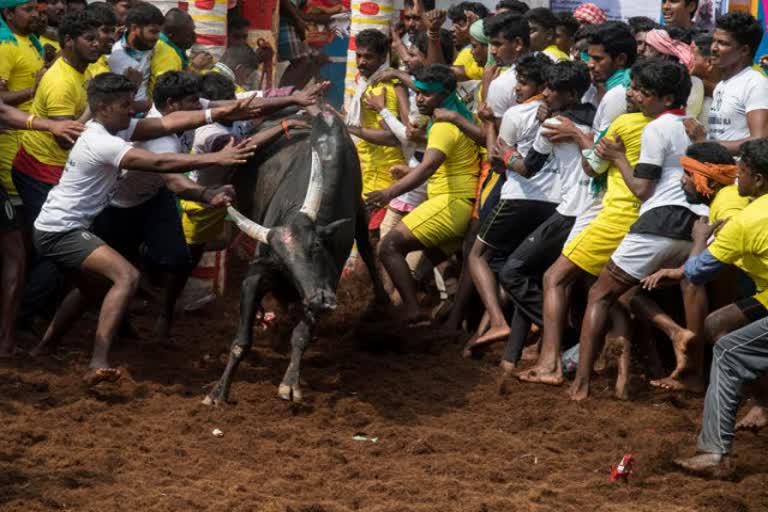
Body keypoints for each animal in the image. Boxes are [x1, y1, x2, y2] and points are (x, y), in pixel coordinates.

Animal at [202, 110, 388, 406]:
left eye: (317, 245)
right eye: (283, 263)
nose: (320, 300)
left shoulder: (326, 282)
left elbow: (301, 335)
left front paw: (290, 383)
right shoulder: (257, 277)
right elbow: (241, 342)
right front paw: (219, 391)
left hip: (360, 215)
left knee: (368, 250)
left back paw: (381, 301)